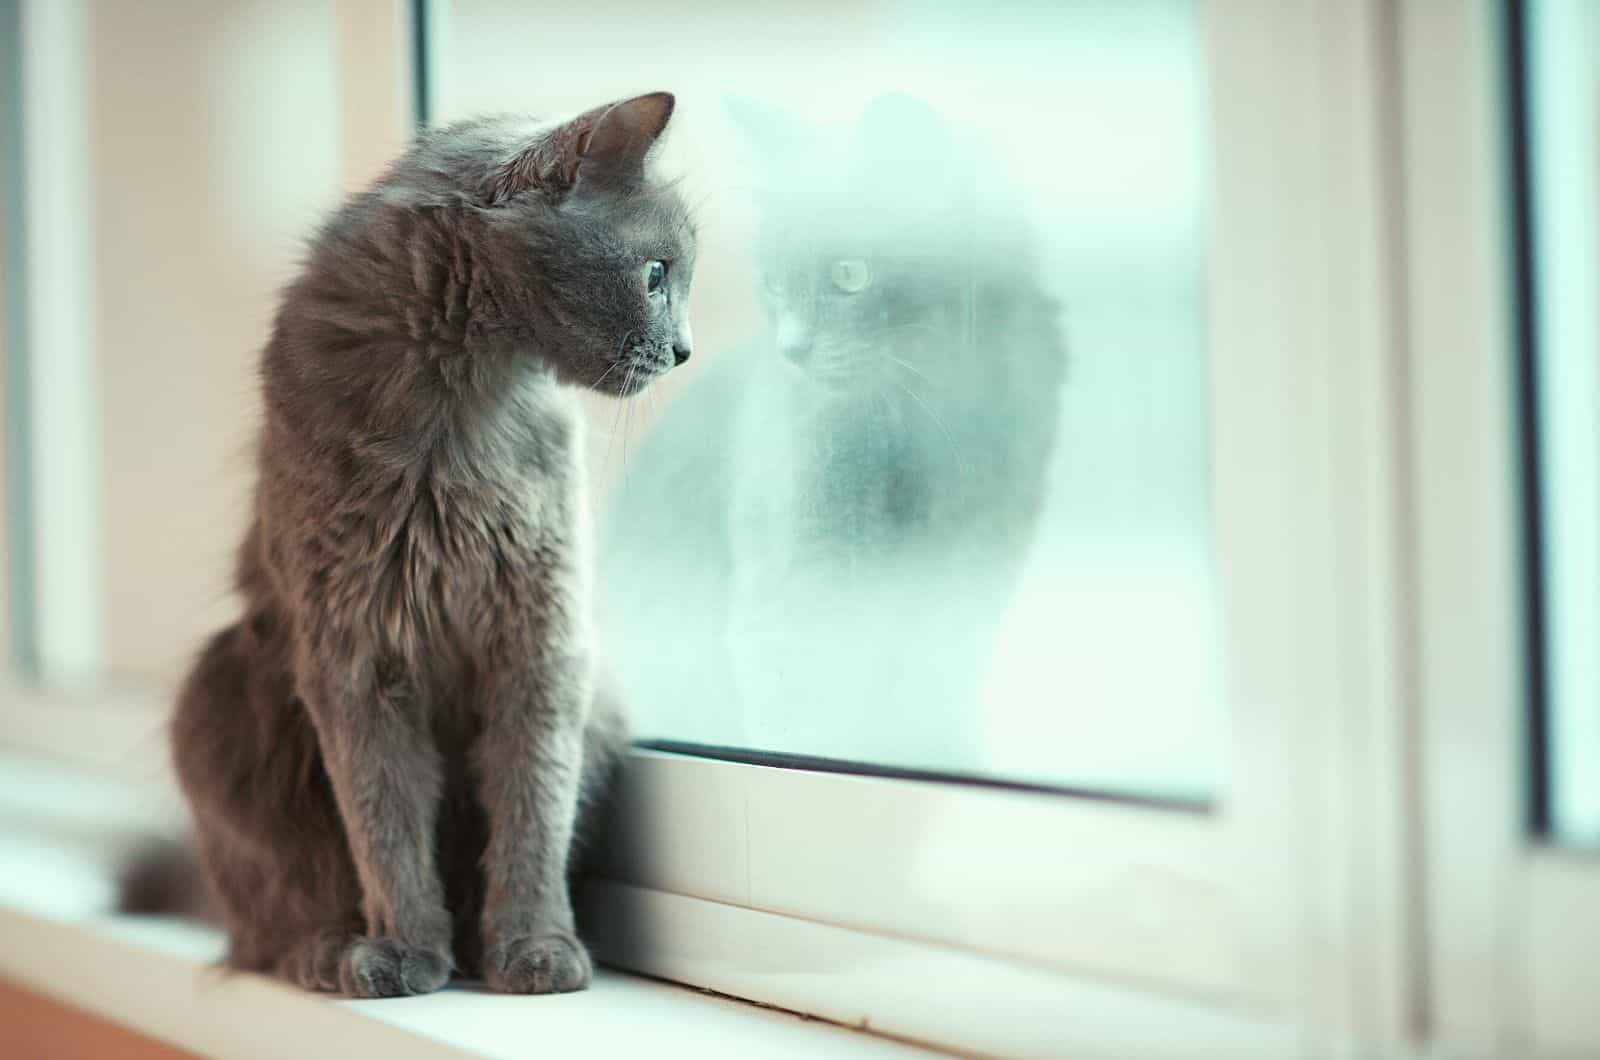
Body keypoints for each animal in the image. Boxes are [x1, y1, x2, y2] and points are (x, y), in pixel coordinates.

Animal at [121, 95, 697, 999]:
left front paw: (536, 949)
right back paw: (330, 952)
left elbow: (534, 807)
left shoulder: (541, 641)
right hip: (216, 695)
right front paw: (403, 952)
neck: (461, 394)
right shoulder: (356, 650)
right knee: (269, 917)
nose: (684, 351)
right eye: (655, 274)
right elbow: (383, 820)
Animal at [601, 95, 1062, 768]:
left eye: (850, 274)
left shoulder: (971, 575)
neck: (933, 427)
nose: (793, 348)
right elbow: (811, 723)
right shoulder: (798, 580)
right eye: (774, 280)